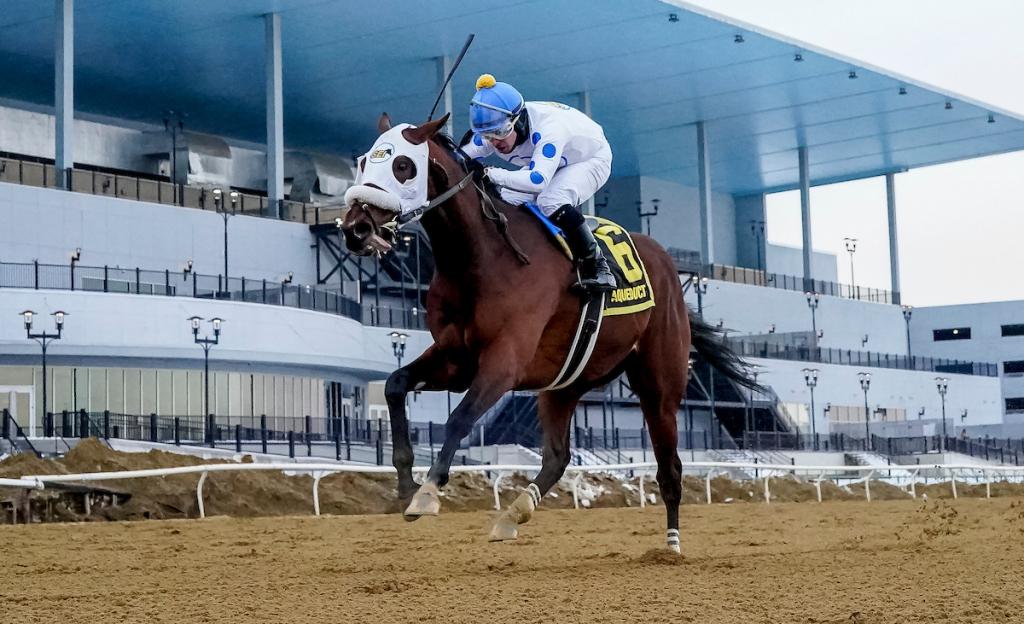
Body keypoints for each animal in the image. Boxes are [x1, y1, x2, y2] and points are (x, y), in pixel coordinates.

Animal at [340, 112, 758, 553]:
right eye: (365, 161)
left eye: (403, 165)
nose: (355, 228)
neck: (483, 257)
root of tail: (667, 264)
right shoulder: (456, 358)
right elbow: (395, 385)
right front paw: (406, 484)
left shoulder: (504, 363)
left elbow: (458, 418)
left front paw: (428, 492)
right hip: (565, 383)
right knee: (558, 456)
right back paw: (513, 513)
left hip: (659, 384)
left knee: (670, 467)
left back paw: (672, 546)